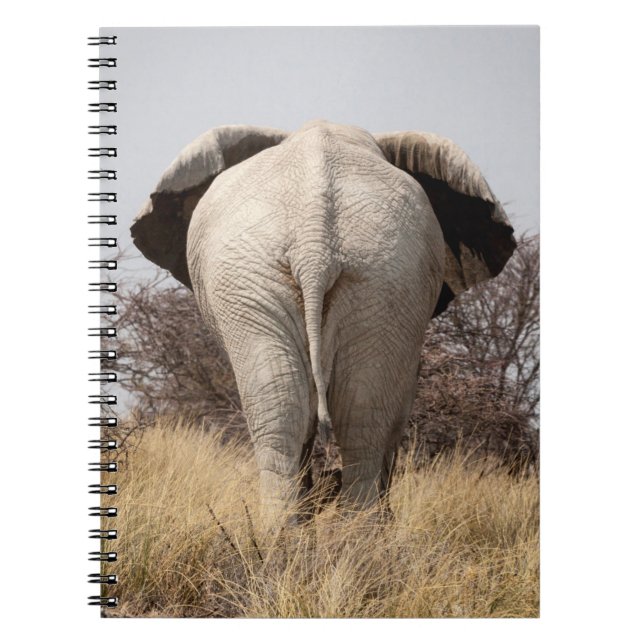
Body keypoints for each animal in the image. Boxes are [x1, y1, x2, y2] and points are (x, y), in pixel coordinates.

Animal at [131, 120, 516, 525]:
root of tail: (315, 241)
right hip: (290, 278)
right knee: (338, 411)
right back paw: (336, 532)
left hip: (370, 278)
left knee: (322, 409)